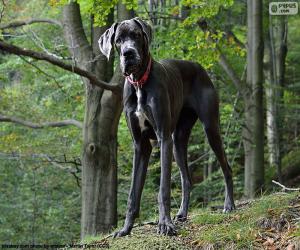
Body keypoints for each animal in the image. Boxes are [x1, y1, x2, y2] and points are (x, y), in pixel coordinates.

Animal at [98, 17, 234, 236]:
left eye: (136, 35)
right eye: (118, 40)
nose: (128, 53)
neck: (139, 83)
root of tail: (199, 66)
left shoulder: (163, 138)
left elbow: (163, 189)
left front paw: (165, 224)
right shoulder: (141, 145)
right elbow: (133, 193)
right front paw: (125, 229)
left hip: (210, 128)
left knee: (226, 168)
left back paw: (229, 205)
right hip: (178, 141)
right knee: (187, 179)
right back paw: (182, 213)